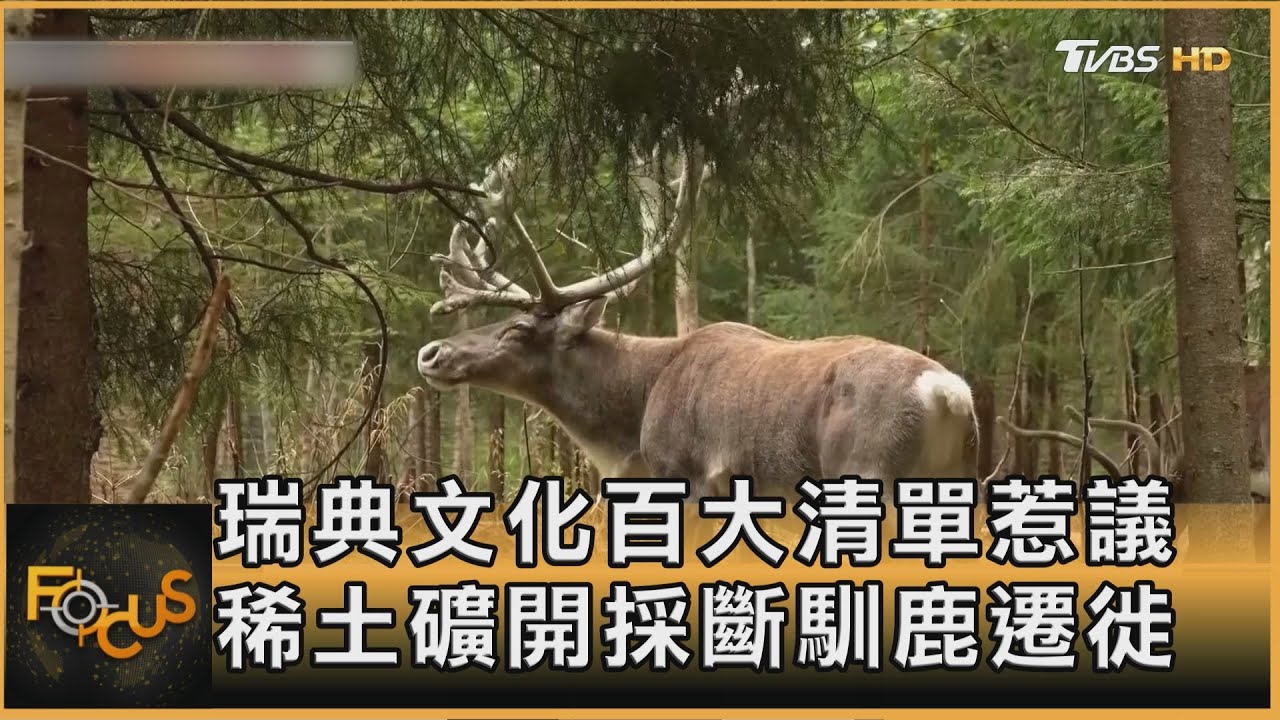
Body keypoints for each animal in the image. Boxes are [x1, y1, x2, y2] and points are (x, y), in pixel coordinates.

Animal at [415, 143, 980, 515]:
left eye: (516, 329)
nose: (431, 353)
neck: (630, 419)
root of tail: (947, 393)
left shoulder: (689, 475)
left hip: (867, 467)